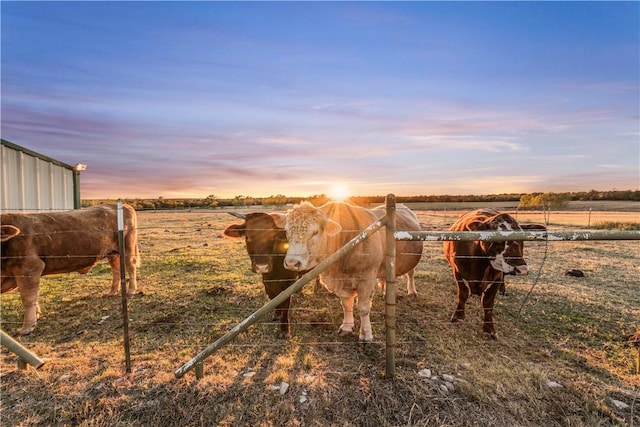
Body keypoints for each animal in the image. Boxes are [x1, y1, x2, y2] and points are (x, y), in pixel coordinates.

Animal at [0, 206, 140, 336]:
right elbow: (32, 296)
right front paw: (37, 314)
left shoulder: (30, 267)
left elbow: (28, 299)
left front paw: (27, 327)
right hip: (112, 253)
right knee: (116, 269)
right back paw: (111, 292)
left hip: (128, 246)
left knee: (131, 267)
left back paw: (131, 291)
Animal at [221, 212, 298, 340]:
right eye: (247, 237)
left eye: (273, 237)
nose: (262, 266)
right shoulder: (267, 280)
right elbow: (274, 296)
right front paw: (277, 313)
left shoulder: (289, 281)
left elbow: (286, 303)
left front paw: (284, 329)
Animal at [272, 202, 422, 342]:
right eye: (286, 232)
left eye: (315, 232)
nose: (291, 263)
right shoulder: (340, 281)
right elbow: (346, 304)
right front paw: (347, 327)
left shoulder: (366, 279)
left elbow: (363, 308)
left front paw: (366, 335)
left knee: (411, 274)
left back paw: (412, 291)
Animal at [444, 209, 544, 340]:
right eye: (497, 238)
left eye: (522, 239)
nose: (521, 269)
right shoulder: (459, 274)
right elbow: (463, 295)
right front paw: (458, 317)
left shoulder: (496, 278)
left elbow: (488, 304)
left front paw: (489, 329)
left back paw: (502, 291)